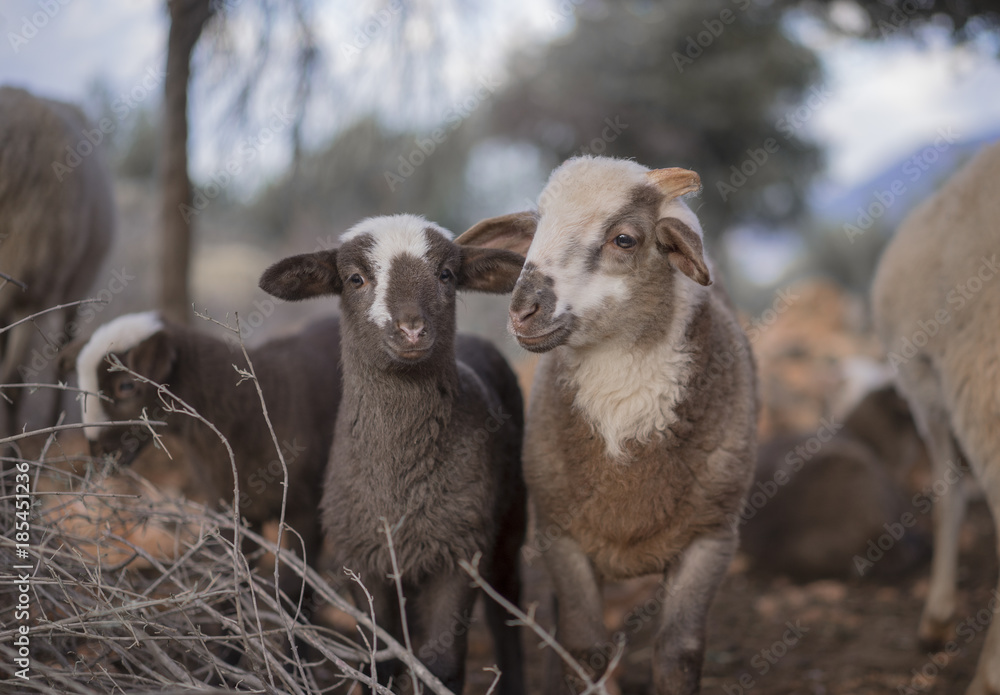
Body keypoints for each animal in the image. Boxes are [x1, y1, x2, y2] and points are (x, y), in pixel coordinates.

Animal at [73, 311, 342, 614]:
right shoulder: (229, 503)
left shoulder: (304, 506)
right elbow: (234, 564)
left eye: (126, 386)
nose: (97, 452)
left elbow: (296, 579)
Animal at [258, 214, 527, 695]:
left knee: (506, 607)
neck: (398, 483)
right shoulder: (362, 556)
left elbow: (442, 666)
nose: (412, 329)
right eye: (355, 278)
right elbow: (378, 660)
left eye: (446, 274)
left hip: (511, 517)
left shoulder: (458, 547)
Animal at [456, 156, 757, 695]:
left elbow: (679, 652)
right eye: (535, 232)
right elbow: (584, 648)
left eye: (624, 239)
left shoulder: (712, 538)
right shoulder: (562, 537)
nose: (522, 311)